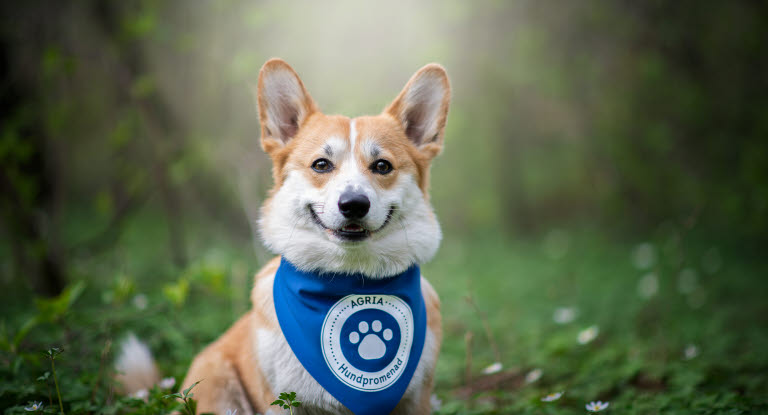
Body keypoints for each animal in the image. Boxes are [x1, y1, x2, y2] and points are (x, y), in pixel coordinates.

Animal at [118, 59, 450, 415]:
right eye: (321, 164)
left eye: (383, 166)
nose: (353, 205)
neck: (350, 278)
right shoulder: (282, 401)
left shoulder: (417, 400)